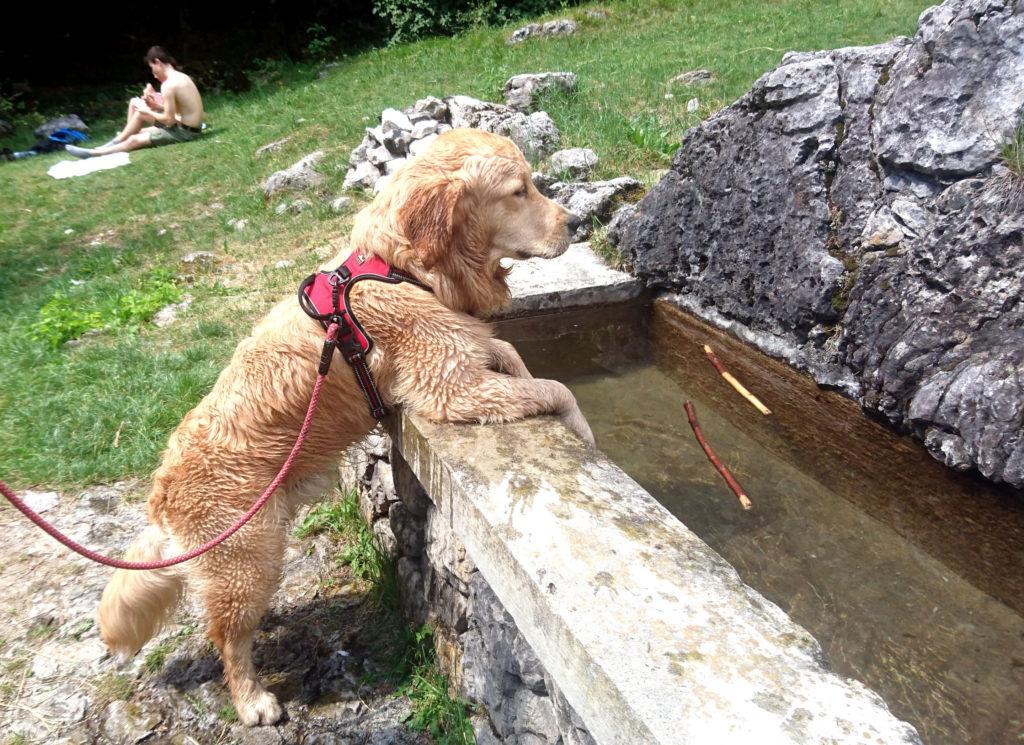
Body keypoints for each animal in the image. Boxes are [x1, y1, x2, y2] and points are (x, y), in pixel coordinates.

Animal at [99, 129, 598, 728]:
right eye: (518, 190)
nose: (577, 221)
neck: (405, 269)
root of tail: (162, 495)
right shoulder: (451, 387)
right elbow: (557, 388)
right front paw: (587, 434)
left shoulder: (467, 352)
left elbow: (515, 356)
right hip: (247, 558)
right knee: (227, 638)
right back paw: (253, 699)